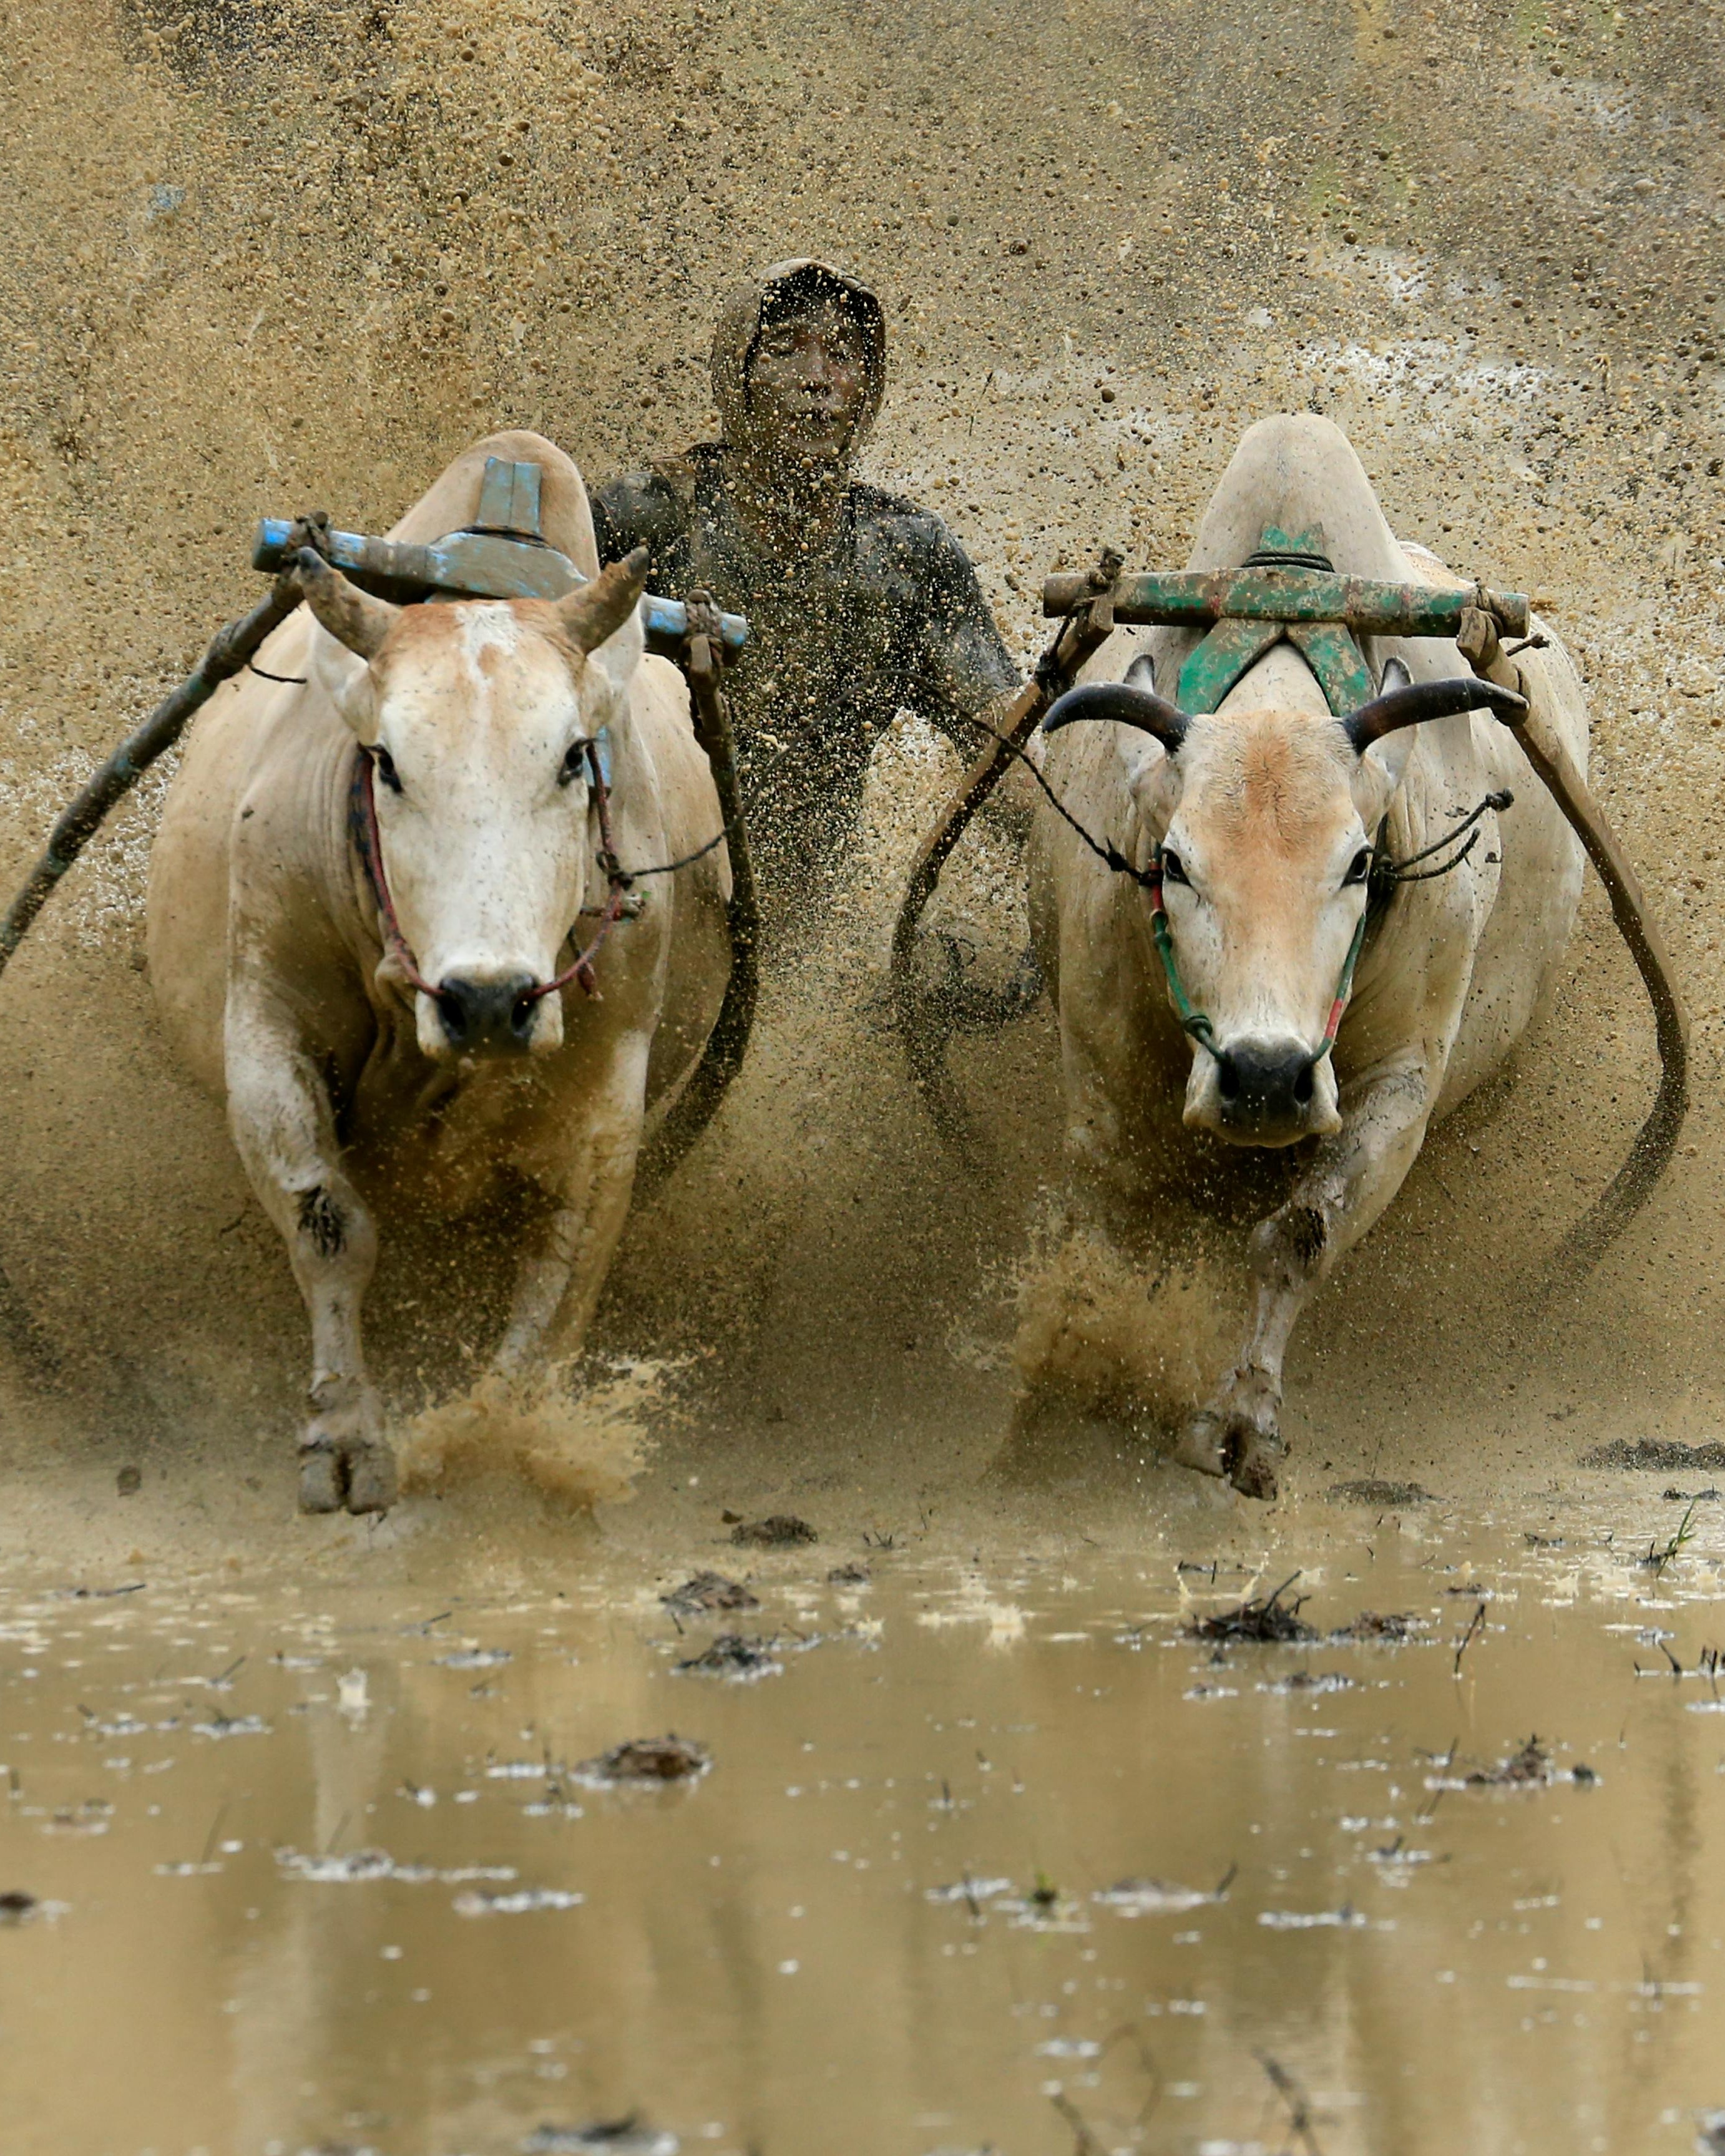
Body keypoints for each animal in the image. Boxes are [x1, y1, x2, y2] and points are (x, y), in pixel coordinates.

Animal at [146, 432, 732, 1514]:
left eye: (573, 758)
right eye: (386, 763)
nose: (489, 999)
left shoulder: (609, 1078)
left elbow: (563, 1266)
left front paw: (498, 1440)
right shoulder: (266, 1023)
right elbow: (331, 1224)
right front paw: (342, 1435)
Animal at [1026, 413, 1587, 1498]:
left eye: (1361, 861)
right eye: (1172, 861)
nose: (1264, 1075)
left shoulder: (1404, 1076)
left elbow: (1300, 1232)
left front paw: (1240, 1422)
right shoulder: (1099, 1067)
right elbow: (1107, 1228)